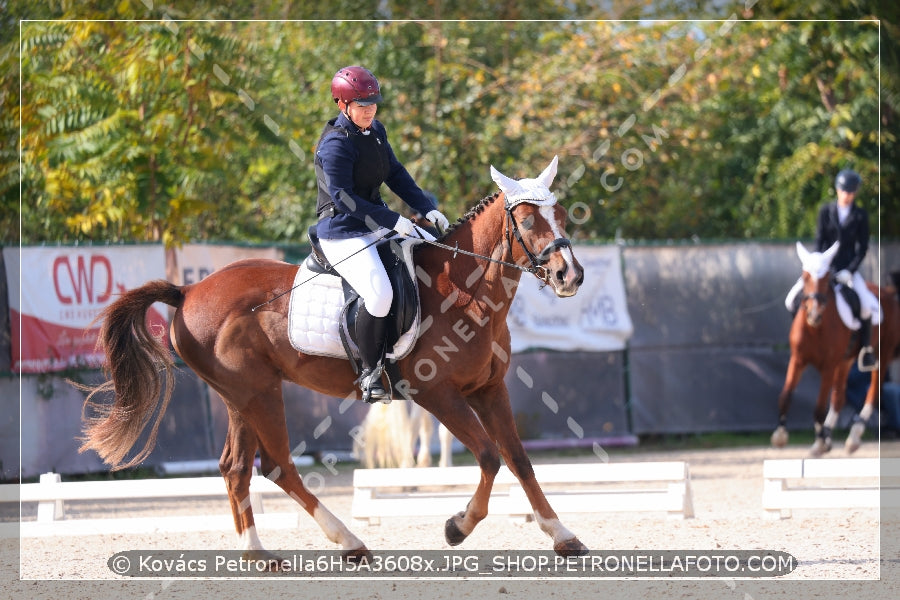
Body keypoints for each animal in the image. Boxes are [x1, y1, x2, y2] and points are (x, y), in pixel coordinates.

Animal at [75, 158, 584, 564]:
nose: (570, 276)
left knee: (236, 467)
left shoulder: (488, 389)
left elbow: (519, 459)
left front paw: (562, 534)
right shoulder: (437, 393)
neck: (465, 291)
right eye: (527, 220)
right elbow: (489, 457)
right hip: (256, 391)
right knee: (276, 465)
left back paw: (258, 553)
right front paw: (457, 526)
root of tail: (188, 290)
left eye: (560, 215)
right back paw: (349, 541)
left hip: (239, 397)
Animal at [768, 241, 900, 458]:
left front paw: (821, 442)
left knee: (873, 394)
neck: (815, 329)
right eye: (805, 276)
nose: (814, 314)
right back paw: (827, 437)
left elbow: (819, 407)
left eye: (826, 278)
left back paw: (853, 438)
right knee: (839, 398)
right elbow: (785, 396)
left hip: (883, 355)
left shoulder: (828, 367)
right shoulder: (798, 360)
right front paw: (780, 437)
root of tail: (887, 292)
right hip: (845, 361)